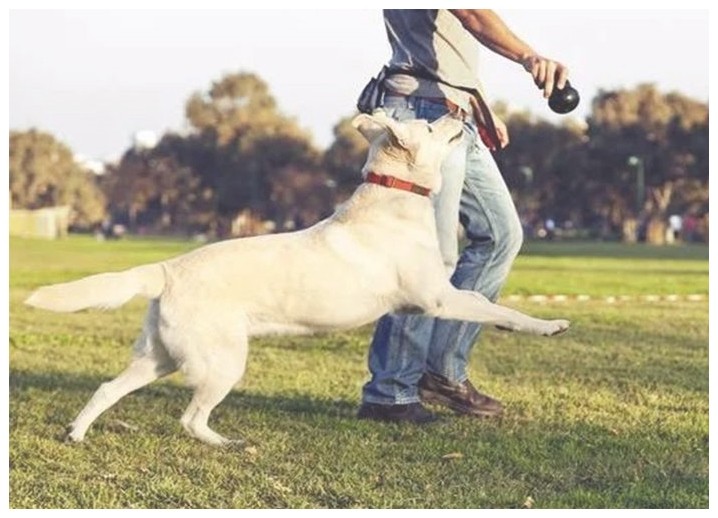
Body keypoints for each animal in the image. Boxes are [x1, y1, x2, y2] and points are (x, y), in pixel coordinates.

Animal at [25, 112, 572, 446]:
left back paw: (76, 432)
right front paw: (548, 326)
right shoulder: (438, 298)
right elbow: (496, 306)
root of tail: (167, 269)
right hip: (222, 362)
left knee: (106, 388)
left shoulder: (433, 299)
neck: (393, 197)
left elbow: (484, 305)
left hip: (158, 357)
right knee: (190, 418)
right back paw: (226, 443)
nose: (460, 113)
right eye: (430, 125)